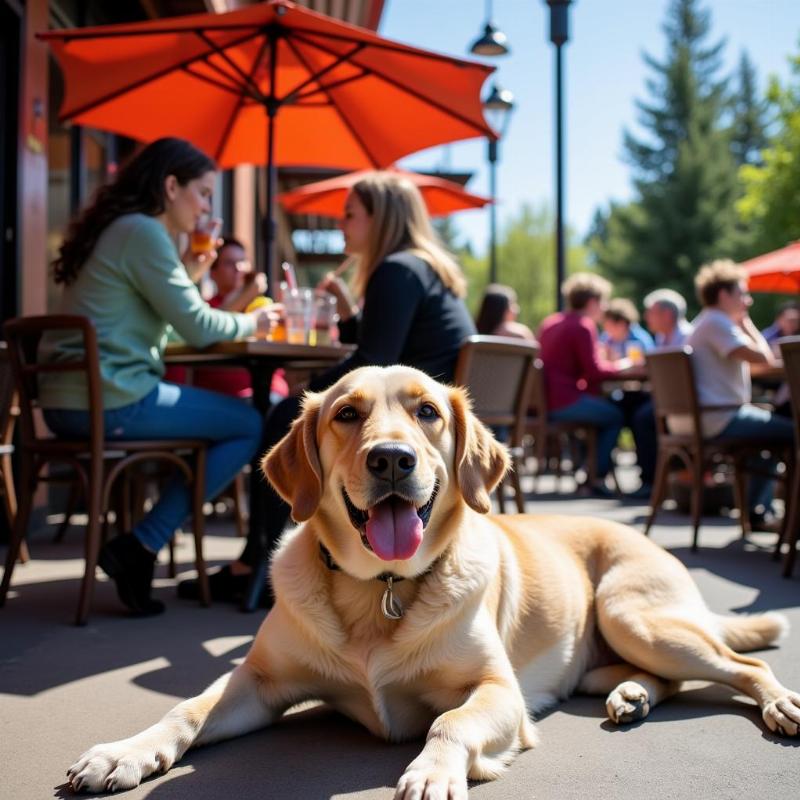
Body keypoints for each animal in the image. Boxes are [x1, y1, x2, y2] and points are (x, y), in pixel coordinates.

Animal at [70, 366, 800, 796]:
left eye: (427, 412)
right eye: (346, 414)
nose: (391, 459)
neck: (380, 588)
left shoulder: (498, 691)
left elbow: (448, 722)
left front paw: (430, 772)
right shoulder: (259, 681)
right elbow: (186, 710)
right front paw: (122, 754)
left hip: (633, 614)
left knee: (744, 666)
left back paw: (779, 704)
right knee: (664, 680)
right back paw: (632, 695)